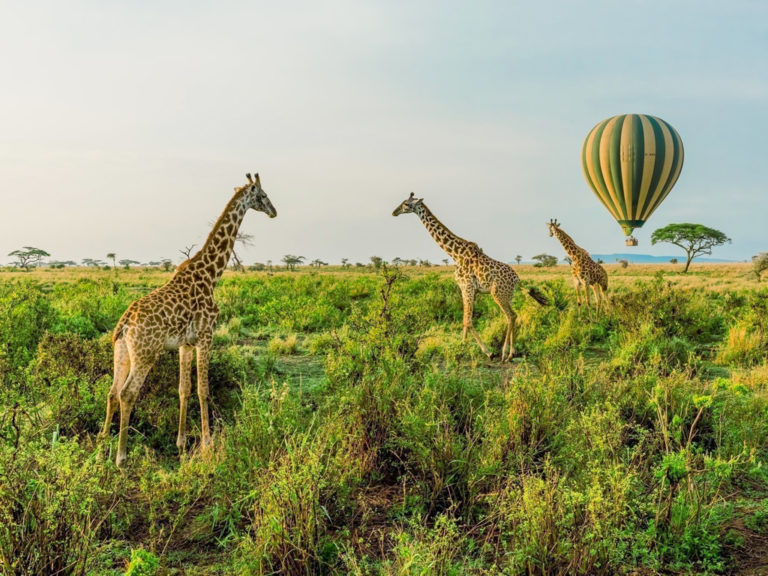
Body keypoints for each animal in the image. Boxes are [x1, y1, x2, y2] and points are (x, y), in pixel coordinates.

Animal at [100, 173, 276, 466]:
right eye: (263, 195)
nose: (274, 211)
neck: (211, 275)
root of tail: (124, 325)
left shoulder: (185, 343)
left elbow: (184, 389)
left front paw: (181, 443)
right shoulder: (207, 336)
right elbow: (204, 390)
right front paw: (207, 443)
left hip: (121, 351)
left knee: (112, 392)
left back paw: (102, 441)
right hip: (146, 354)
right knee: (127, 393)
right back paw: (121, 457)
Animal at [393, 193, 548, 361]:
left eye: (407, 204)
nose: (394, 212)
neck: (455, 254)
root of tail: (517, 279)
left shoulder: (466, 286)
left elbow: (467, 320)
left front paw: (487, 351)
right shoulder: (468, 289)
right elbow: (465, 320)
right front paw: (462, 345)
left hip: (498, 293)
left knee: (511, 316)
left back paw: (504, 353)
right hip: (508, 295)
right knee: (514, 315)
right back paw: (511, 353)